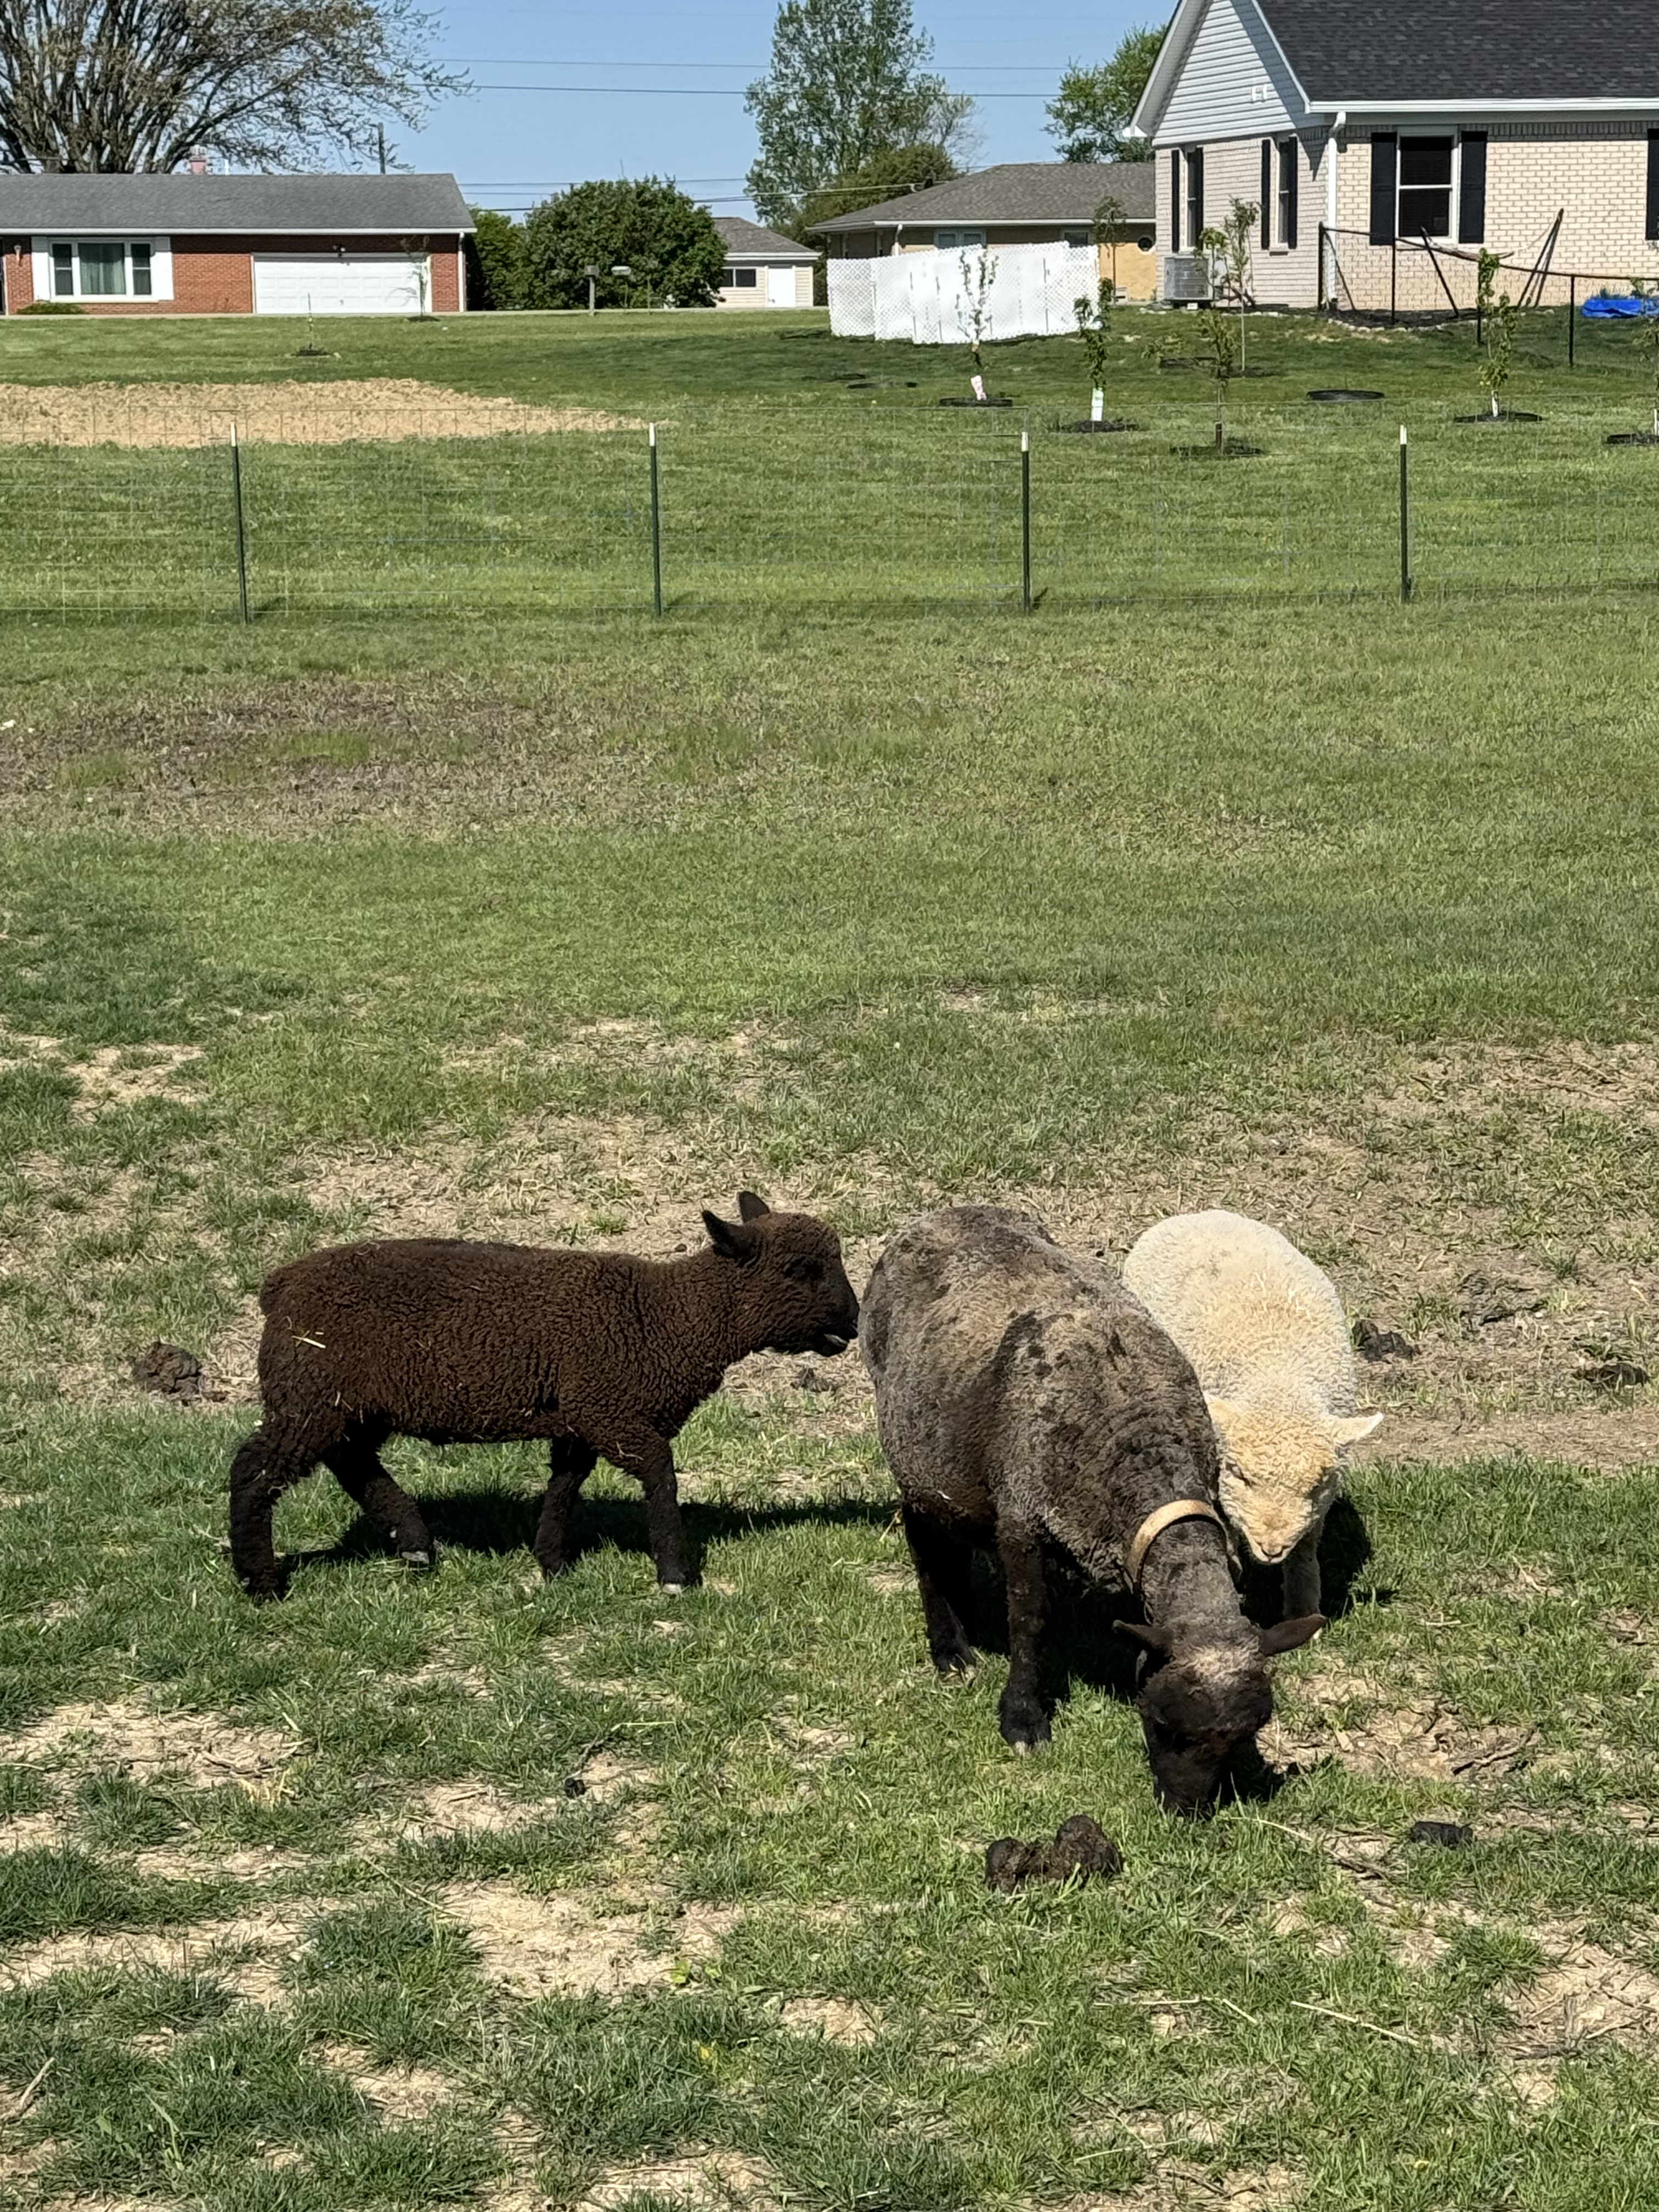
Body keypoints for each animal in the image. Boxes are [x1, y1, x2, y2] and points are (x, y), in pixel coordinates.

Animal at [228, 1192, 859, 1601]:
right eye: (798, 1271)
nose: (853, 1323)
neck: (667, 1317)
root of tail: (277, 1285)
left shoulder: (578, 1417)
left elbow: (565, 1486)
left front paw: (551, 1562)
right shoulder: (609, 1409)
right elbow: (661, 1475)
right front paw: (674, 1575)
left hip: (349, 1404)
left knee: (351, 1461)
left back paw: (414, 1544)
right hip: (310, 1394)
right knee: (254, 1470)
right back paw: (260, 1582)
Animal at [861, 1205, 1322, 1815]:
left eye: (1243, 1734)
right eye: (1163, 1724)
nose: (1186, 1811)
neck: (1140, 1445)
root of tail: (942, 1214)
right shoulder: (1021, 1518)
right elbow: (1029, 1621)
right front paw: (1022, 1719)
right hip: (916, 1456)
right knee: (924, 1541)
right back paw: (951, 1650)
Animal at [1121, 1209, 1381, 1619]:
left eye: (1315, 1486)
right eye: (1240, 1475)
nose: (1271, 1548)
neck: (1277, 1377)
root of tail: (1201, 1214)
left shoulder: (1317, 1511)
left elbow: (1306, 1552)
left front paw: (1303, 1612)